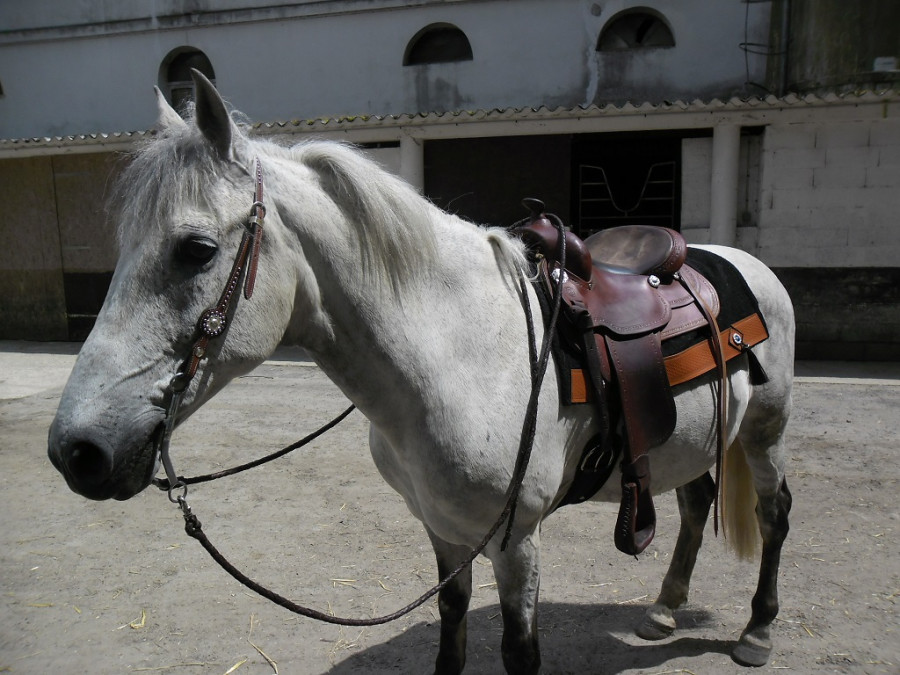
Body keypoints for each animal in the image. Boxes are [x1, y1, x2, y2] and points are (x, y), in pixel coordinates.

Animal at [49, 74, 796, 675]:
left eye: (197, 249)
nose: (75, 451)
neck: (456, 356)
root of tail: (740, 261)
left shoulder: (515, 542)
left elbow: (519, 652)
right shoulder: (442, 530)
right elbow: (451, 628)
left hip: (763, 429)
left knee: (774, 511)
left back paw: (757, 630)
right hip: (692, 436)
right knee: (696, 502)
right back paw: (666, 608)